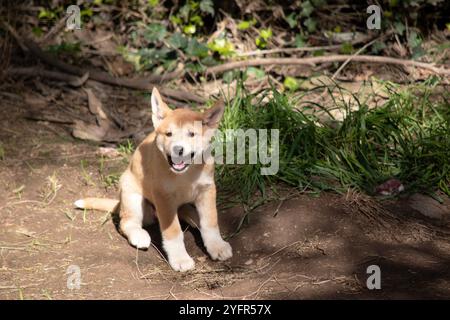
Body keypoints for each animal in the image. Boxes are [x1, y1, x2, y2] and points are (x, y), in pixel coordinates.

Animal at [74, 88, 232, 272]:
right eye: (169, 134)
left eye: (192, 134)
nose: (178, 149)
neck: (186, 174)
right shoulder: (164, 197)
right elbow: (173, 231)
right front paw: (180, 258)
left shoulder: (207, 190)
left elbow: (210, 222)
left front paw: (217, 246)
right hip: (131, 195)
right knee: (127, 222)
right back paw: (139, 235)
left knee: (187, 211)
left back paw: (194, 217)